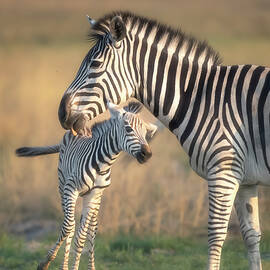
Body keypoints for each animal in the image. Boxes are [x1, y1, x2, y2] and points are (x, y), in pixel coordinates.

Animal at [16, 102, 156, 270]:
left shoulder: (93, 195)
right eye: (128, 129)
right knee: (69, 225)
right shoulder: (70, 188)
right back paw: (63, 264)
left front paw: (75, 265)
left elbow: (82, 237)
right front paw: (46, 262)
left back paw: (91, 265)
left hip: (95, 201)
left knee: (92, 229)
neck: (104, 163)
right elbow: (68, 228)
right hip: (62, 186)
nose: (147, 154)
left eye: (146, 133)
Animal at [57, 11, 270, 270]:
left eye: (95, 65)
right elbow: (251, 237)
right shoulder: (246, 179)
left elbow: (216, 237)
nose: (61, 113)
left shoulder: (223, 173)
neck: (203, 100)